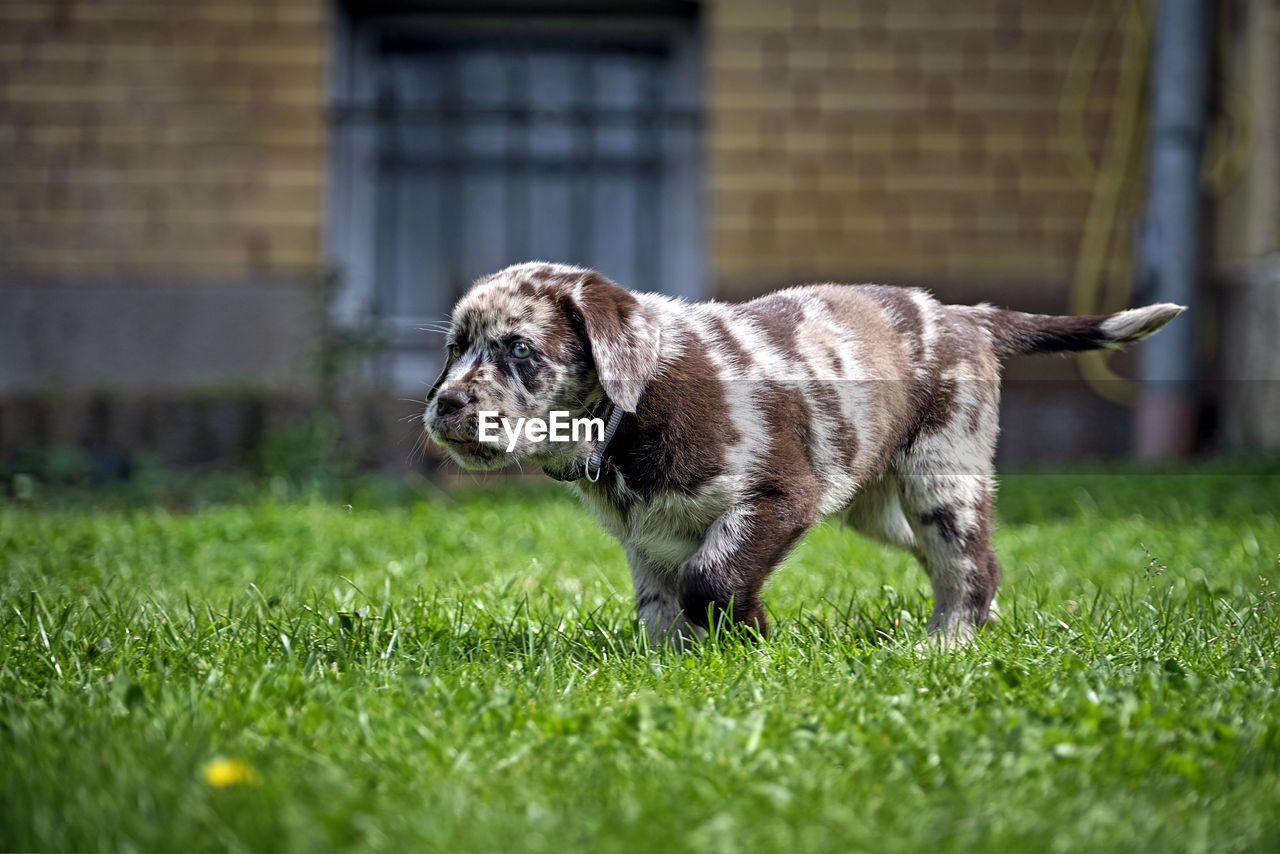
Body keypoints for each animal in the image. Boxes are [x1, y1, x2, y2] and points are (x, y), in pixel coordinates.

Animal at [424, 261, 1182, 647]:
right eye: (454, 348)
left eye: (520, 350)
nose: (446, 405)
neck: (629, 419)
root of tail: (965, 315)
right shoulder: (647, 541)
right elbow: (663, 610)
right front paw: (673, 669)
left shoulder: (778, 496)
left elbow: (713, 578)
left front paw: (754, 636)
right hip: (877, 509)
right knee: (947, 561)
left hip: (942, 479)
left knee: (972, 565)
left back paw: (947, 644)